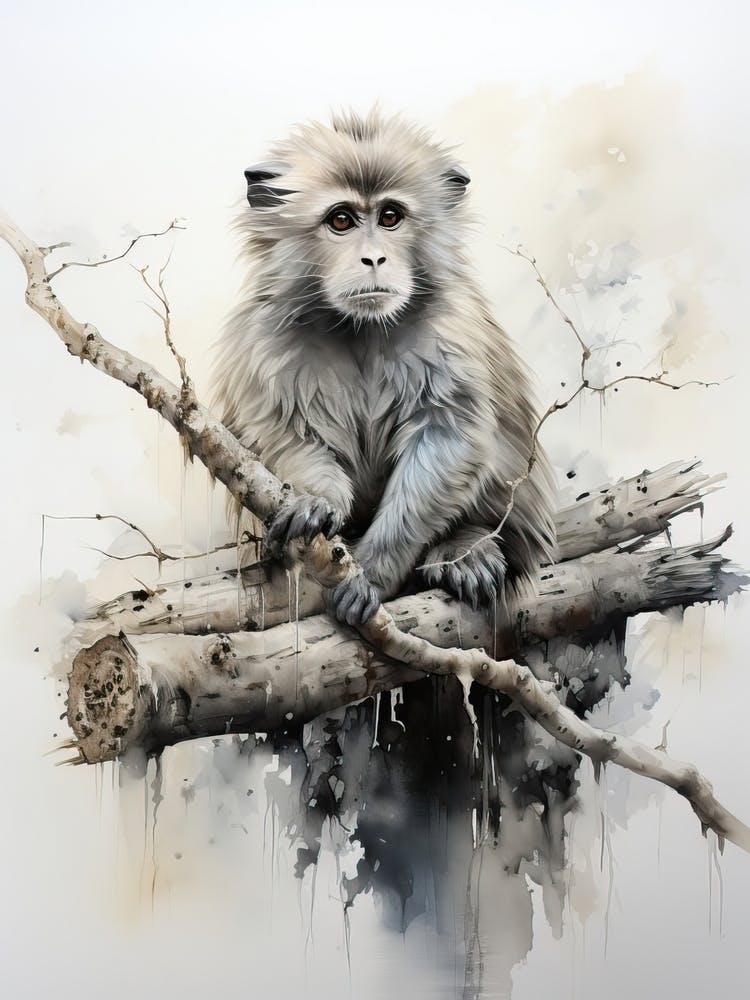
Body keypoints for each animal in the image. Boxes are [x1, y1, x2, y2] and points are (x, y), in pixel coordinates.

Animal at [212, 110, 557, 627]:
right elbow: (280, 434)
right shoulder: (266, 338)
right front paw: (316, 501)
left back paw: (466, 547)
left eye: (391, 217)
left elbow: (448, 436)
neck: (361, 329)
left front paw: (372, 575)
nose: (374, 257)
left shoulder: (451, 328)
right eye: (341, 220)